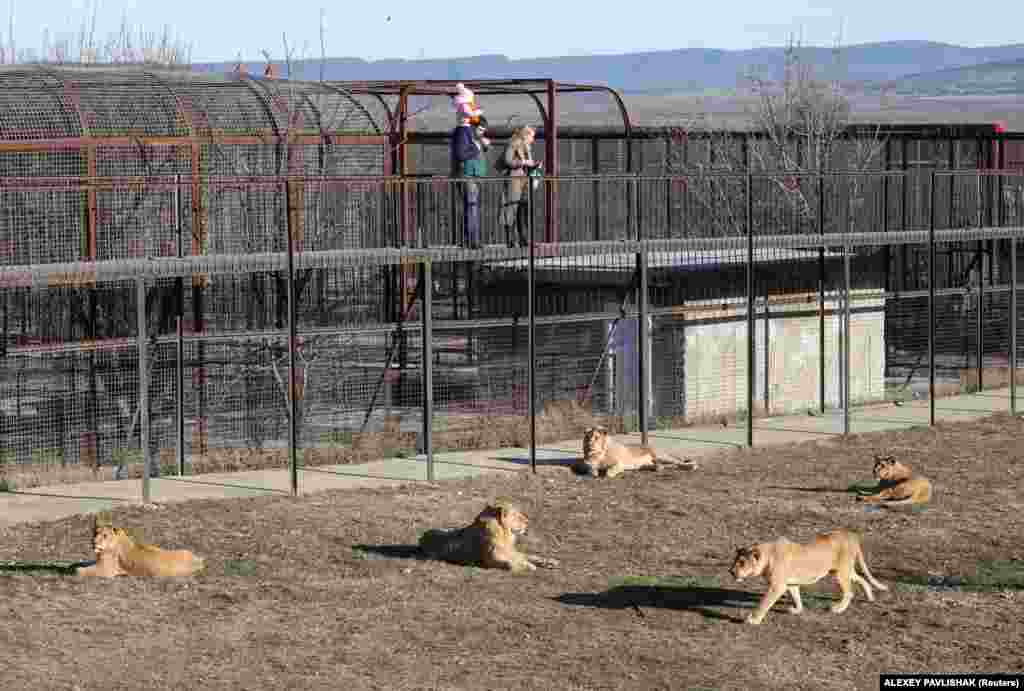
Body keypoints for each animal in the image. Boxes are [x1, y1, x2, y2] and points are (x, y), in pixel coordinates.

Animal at [74, 520, 207, 577]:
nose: (93, 543)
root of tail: (198, 562)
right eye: (95, 533)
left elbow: (84, 571)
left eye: (105, 535)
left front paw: (76, 569)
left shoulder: (106, 571)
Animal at [417, 499, 561, 577]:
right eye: (516, 515)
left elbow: (531, 556)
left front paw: (549, 562)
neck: (504, 535)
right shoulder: (490, 560)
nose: (528, 521)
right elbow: (510, 564)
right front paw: (528, 566)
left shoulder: (513, 552)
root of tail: (421, 536)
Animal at [729, 528, 888, 626]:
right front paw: (797, 610)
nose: (731, 571)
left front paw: (753, 619)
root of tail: (851, 534)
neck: (768, 556)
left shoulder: (777, 586)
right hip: (843, 571)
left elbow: (764, 603)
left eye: (742, 563)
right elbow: (796, 597)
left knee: (849, 592)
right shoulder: (790, 584)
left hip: (841, 573)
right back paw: (870, 597)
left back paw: (838, 609)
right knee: (862, 579)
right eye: (735, 560)